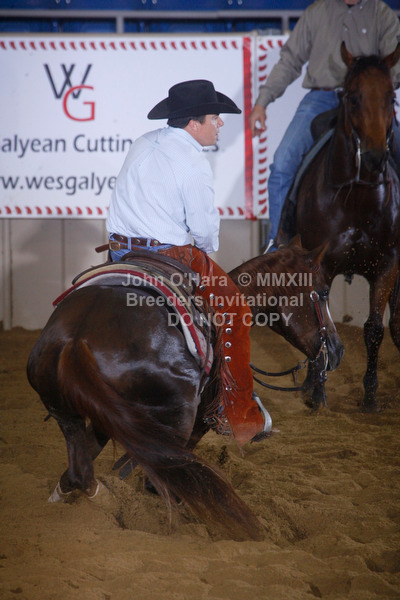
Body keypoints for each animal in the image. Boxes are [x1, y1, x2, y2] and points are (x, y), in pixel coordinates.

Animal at [26, 238, 344, 541]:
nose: (337, 349)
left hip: (71, 411)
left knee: (80, 470)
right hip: (177, 417)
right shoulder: (196, 422)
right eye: (323, 292)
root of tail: (77, 339)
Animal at [277, 42, 400, 413]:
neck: (357, 199)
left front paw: (371, 396)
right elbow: (317, 323)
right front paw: (317, 392)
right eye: (353, 97)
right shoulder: (321, 265)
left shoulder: (388, 265)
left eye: (391, 96)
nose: (374, 157)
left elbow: (374, 329)